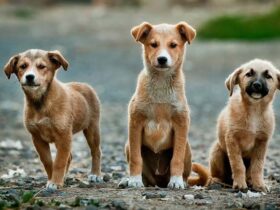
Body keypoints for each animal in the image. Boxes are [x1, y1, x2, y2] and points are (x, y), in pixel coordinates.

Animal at [3, 49, 102, 190]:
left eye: (41, 66)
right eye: (23, 66)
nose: (29, 77)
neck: (41, 102)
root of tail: (84, 85)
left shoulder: (64, 136)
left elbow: (59, 161)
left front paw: (55, 182)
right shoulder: (37, 138)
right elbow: (48, 161)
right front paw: (53, 179)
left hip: (92, 129)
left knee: (96, 151)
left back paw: (95, 174)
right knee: (70, 157)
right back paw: (65, 177)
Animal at [121, 21, 197, 189]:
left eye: (173, 45)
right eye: (153, 44)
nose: (162, 59)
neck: (161, 84)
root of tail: (159, 181)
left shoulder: (181, 123)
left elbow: (177, 158)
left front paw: (176, 181)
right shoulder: (135, 122)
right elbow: (136, 158)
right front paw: (134, 180)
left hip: (188, 148)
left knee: (185, 171)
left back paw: (181, 180)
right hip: (128, 145)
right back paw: (129, 180)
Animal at [195, 58, 280, 192]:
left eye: (268, 76)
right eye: (249, 74)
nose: (257, 85)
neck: (254, 111)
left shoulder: (262, 142)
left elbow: (258, 166)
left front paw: (259, 184)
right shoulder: (232, 139)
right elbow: (238, 164)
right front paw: (240, 184)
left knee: (248, 173)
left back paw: (249, 182)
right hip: (216, 151)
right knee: (217, 176)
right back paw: (217, 182)